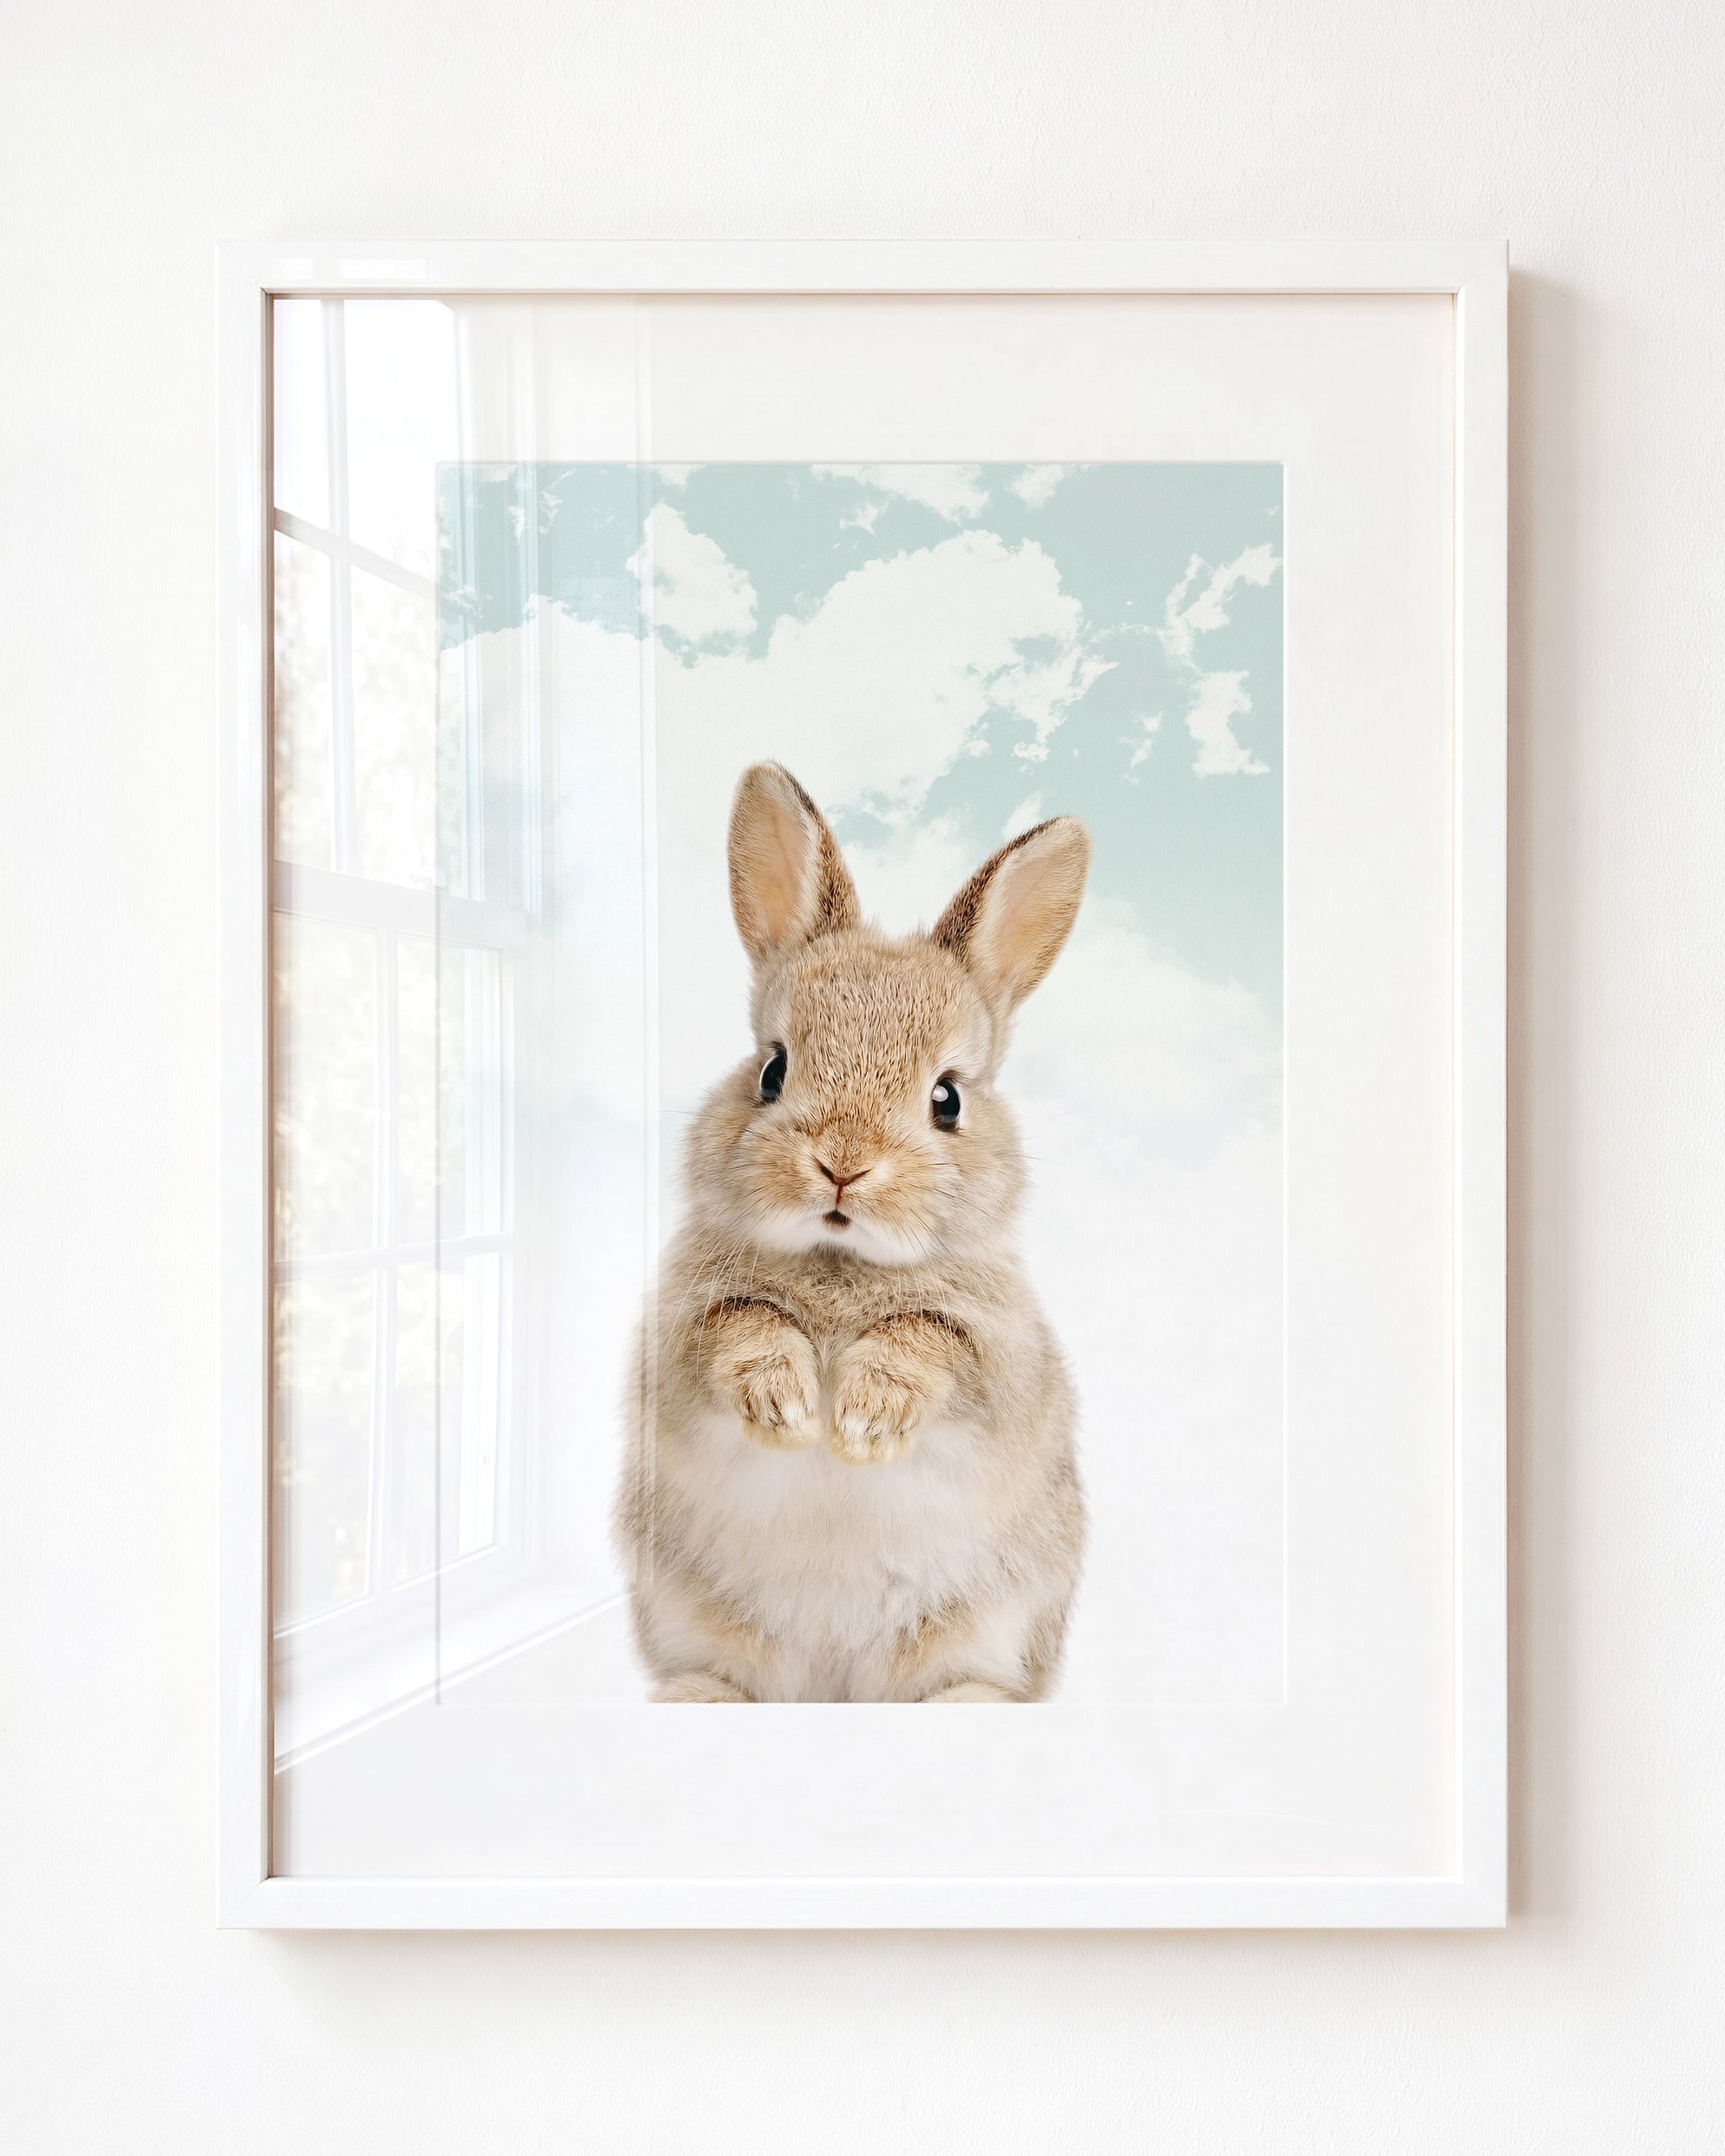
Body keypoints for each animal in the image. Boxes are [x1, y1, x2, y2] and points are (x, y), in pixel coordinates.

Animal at [615, 761, 1090, 1702]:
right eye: (772, 1069)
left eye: (947, 1099)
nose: (842, 1164)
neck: (839, 1261)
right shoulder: (680, 1340)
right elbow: (741, 1326)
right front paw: (789, 1407)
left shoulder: (1000, 1360)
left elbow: (928, 1340)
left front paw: (863, 1421)